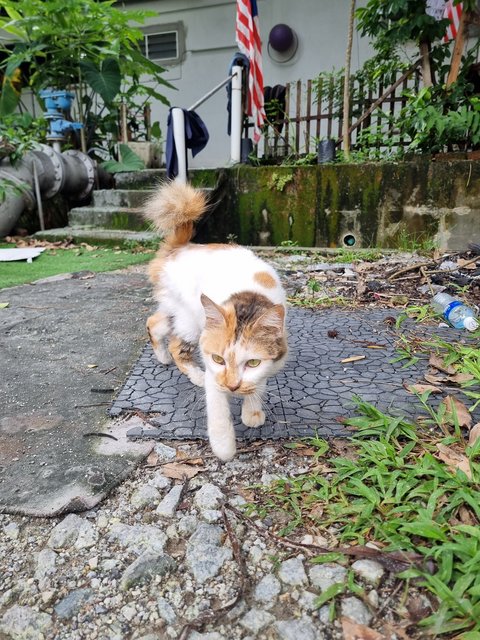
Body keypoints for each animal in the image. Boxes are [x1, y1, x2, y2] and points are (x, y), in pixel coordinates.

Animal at [142, 180, 284, 460]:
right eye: (219, 360)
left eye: (253, 362)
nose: (231, 386)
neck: (248, 300)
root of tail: (181, 247)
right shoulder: (213, 372)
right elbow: (218, 415)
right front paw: (224, 449)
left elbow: (258, 383)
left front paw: (252, 412)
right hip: (190, 321)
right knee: (176, 345)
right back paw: (191, 373)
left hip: (176, 309)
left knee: (153, 322)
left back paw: (161, 356)